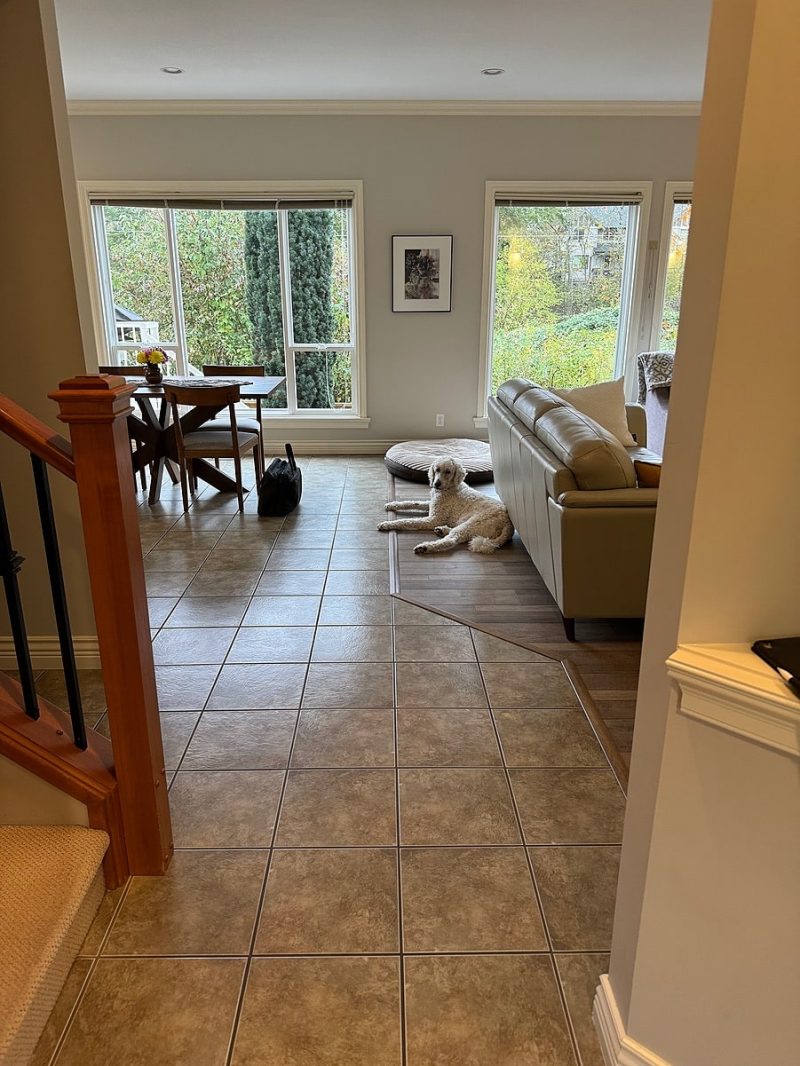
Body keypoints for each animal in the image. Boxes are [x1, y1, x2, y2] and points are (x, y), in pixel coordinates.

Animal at [378, 458, 514, 555]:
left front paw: (387, 524)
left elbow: (407, 521)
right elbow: (413, 503)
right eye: (437, 469)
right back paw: (442, 530)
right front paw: (392, 505)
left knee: (452, 540)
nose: (436, 484)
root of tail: (509, 525)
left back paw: (425, 547)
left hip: (474, 523)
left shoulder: (433, 519)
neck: (449, 488)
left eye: (448, 472)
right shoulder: (432, 504)